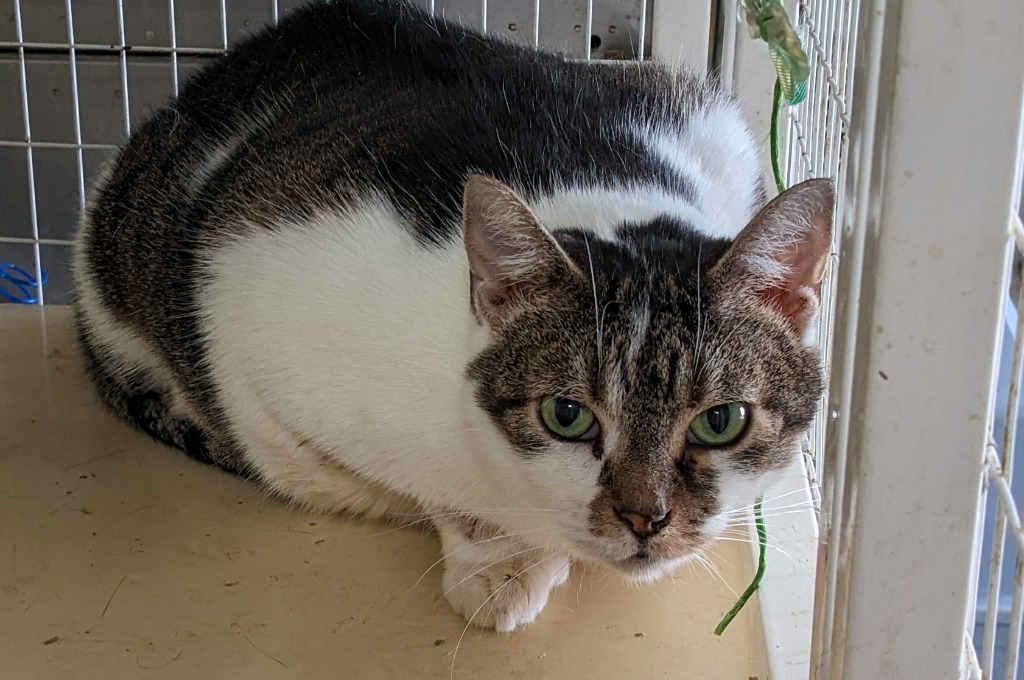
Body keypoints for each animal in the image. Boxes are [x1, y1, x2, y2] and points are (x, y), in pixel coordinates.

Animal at [74, 0, 831, 630]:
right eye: (567, 416)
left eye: (721, 422)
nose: (647, 518)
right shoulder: (247, 320)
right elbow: (415, 489)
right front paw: (500, 562)